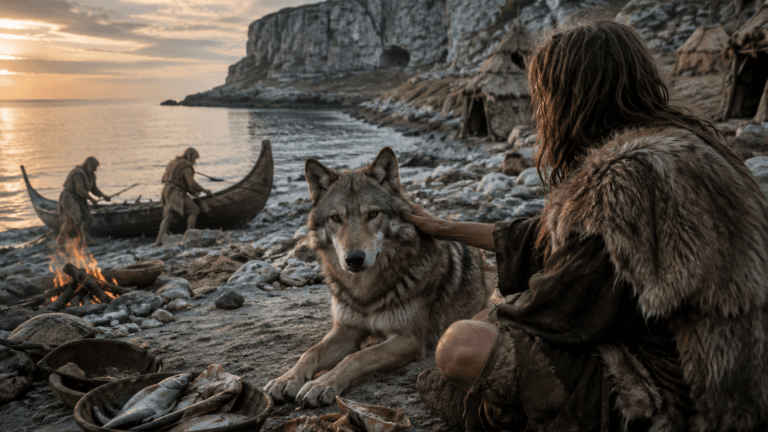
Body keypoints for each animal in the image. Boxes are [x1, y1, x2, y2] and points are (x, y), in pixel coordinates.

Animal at [264, 146, 494, 407]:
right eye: (336, 218)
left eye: (373, 214)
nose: (354, 258)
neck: (365, 290)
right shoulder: (347, 329)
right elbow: (311, 351)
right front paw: (287, 379)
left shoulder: (408, 340)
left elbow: (358, 357)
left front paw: (321, 384)